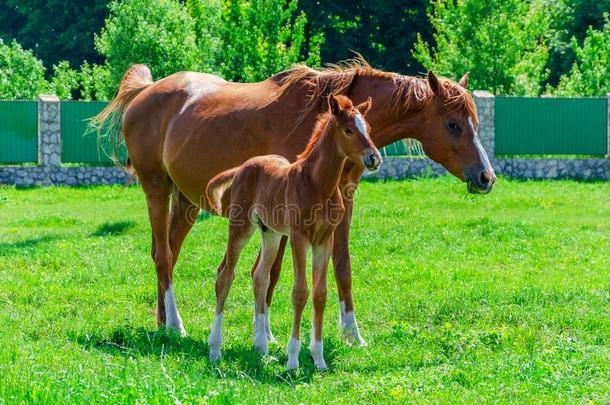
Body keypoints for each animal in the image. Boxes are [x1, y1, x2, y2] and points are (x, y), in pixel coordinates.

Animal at [204, 94, 380, 370]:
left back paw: (262, 349)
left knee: (260, 276)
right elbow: (300, 292)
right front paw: (293, 359)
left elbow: (320, 294)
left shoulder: (324, 240)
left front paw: (318, 359)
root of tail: (244, 166)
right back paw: (215, 349)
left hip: (271, 234)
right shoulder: (299, 237)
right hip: (241, 226)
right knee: (225, 275)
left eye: (369, 129)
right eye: (348, 130)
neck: (318, 184)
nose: (374, 158)